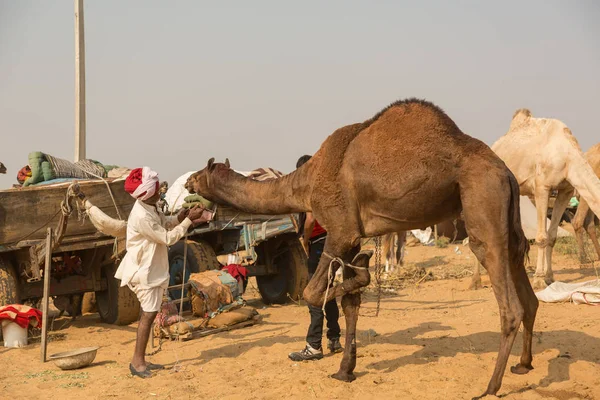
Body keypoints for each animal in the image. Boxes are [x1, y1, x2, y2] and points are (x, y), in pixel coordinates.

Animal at [185, 98, 536, 398]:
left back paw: (490, 387)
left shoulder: (340, 229)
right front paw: (345, 370)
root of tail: (506, 172)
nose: (188, 182)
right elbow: (350, 302)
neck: (305, 183)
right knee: (526, 291)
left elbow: (315, 292)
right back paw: (523, 364)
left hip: (482, 199)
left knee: (507, 299)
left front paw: (363, 277)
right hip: (508, 216)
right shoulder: (353, 238)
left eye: (200, 174)